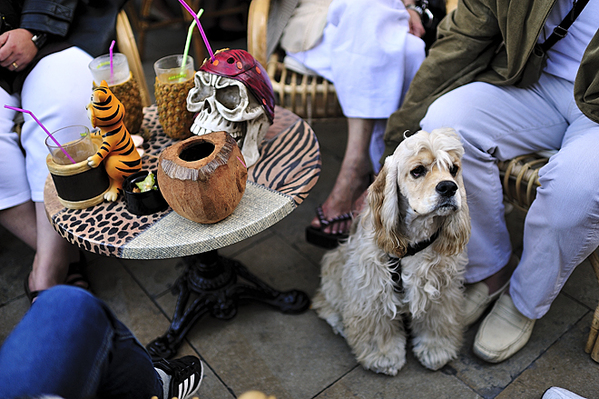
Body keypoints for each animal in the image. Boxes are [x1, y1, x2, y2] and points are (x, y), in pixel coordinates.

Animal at [312, 128, 472, 376]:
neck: (415, 242)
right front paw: (383, 356)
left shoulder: (441, 288)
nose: (449, 187)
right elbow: (377, 325)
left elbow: (438, 320)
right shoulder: (372, 286)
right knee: (325, 300)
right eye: (418, 171)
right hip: (335, 263)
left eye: (453, 169)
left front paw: (435, 350)